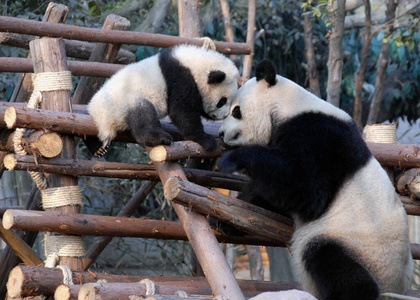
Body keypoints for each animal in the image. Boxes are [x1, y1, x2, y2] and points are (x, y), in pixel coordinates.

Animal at [87, 45, 238, 157]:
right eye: (222, 101)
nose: (224, 115)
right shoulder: (181, 78)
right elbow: (181, 111)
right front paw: (205, 139)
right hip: (128, 100)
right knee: (143, 116)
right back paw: (159, 138)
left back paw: (97, 148)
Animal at [217, 59, 414, 298]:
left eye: (236, 111)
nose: (220, 133)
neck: (289, 105)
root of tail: (396, 288)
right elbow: (274, 197)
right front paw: (225, 221)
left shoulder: (320, 138)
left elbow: (307, 189)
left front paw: (234, 158)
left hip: (360, 246)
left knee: (329, 260)